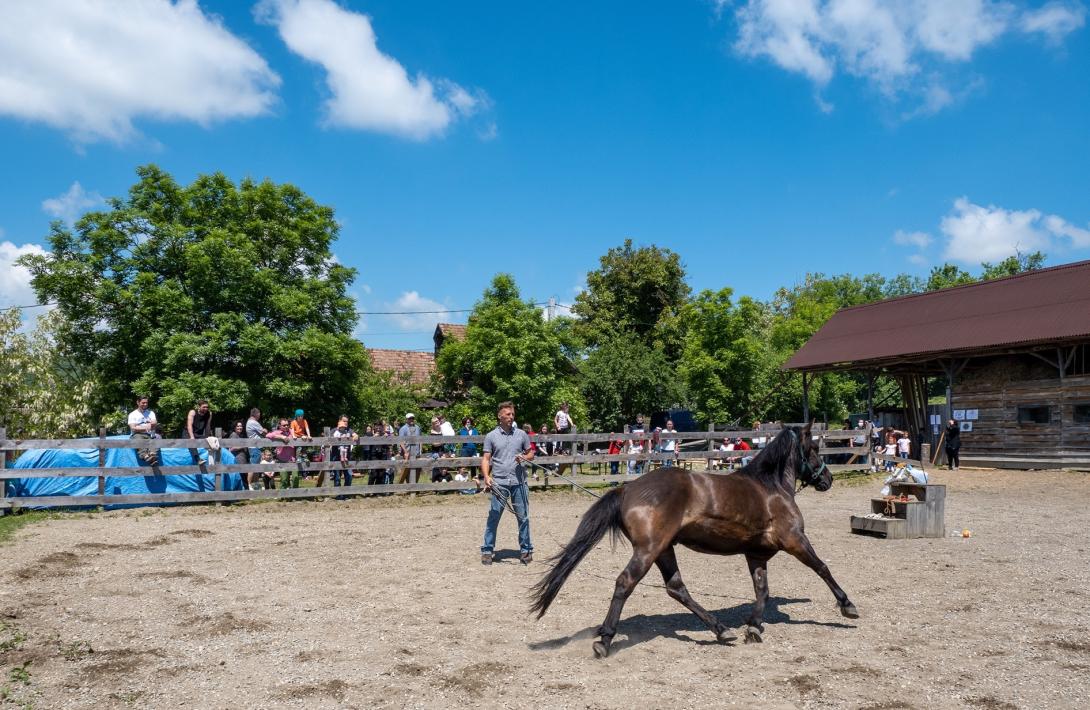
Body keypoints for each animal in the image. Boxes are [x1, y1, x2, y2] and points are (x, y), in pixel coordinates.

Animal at [529, 425, 858, 658]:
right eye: (813, 448)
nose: (827, 480)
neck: (771, 488)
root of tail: (627, 490)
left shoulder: (756, 555)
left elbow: (762, 591)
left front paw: (753, 628)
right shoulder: (795, 539)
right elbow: (822, 568)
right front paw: (848, 606)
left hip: (664, 550)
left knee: (676, 588)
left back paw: (721, 630)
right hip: (648, 550)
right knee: (625, 583)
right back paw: (605, 640)